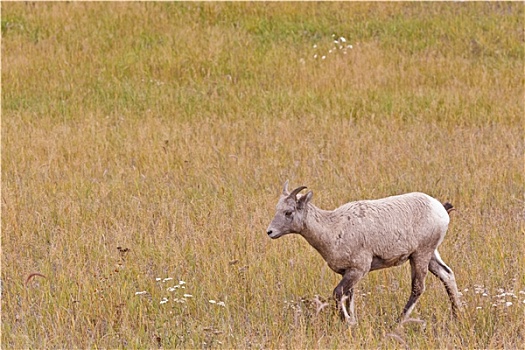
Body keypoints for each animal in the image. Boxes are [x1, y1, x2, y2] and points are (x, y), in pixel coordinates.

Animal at [266, 182, 458, 324]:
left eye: (288, 212)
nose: (270, 232)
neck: (334, 229)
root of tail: (440, 208)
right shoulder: (348, 273)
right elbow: (349, 298)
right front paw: (353, 320)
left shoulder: (358, 270)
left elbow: (338, 293)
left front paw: (348, 321)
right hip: (430, 255)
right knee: (447, 275)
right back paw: (456, 315)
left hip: (420, 255)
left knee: (418, 287)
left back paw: (398, 321)